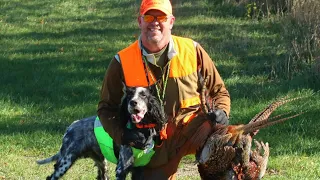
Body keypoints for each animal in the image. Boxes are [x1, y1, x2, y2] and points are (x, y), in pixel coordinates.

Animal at [37, 86, 168, 179]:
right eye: (130, 95)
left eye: (143, 95)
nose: (133, 102)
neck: (140, 130)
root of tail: (70, 127)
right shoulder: (121, 169)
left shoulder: (139, 169)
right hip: (65, 161)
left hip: (101, 162)